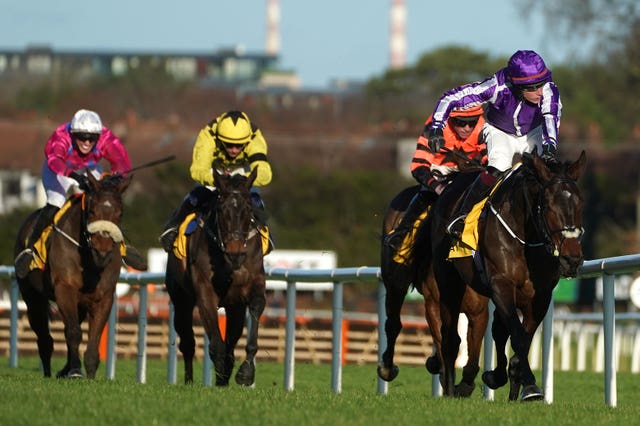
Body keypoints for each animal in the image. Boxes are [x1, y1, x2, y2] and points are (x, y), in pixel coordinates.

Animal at [14, 171, 132, 378]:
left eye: (120, 214)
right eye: (92, 212)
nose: (102, 252)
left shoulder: (104, 297)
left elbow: (93, 336)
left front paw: (90, 373)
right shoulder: (64, 289)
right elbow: (74, 332)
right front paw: (76, 370)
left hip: (80, 304)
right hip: (32, 297)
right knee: (44, 337)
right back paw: (48, 372)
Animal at [165, 168, 268, 388]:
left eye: (248, 209)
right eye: (221, 210)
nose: (235, 253)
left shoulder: (251, 285)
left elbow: (255, 311)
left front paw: (245, 372)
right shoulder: (205, 292)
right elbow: (216, 343)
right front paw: (221, 374)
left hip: (233, 305)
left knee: (231, 337)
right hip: (180, 298)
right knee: (187, 342)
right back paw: (189, 381)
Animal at [376, 176, 490, 396]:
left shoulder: (478, 310)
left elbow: (472, 356)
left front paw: (463, 385)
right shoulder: (434, 303)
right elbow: (445, 341)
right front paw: (448, 382)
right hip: (395, 280)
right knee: (393, 323)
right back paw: (387, 367)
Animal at [432, 151, 588, 402]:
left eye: (580, 203)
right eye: (548, 205)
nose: (571, 260)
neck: (526, 237)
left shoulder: (539, 296)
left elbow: (521, 336)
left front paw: (513, 379)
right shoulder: (501, 284)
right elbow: (518, 336)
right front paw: (530, 385)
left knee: (497, 328)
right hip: (448, 281)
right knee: (450, 335)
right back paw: (450, 388)